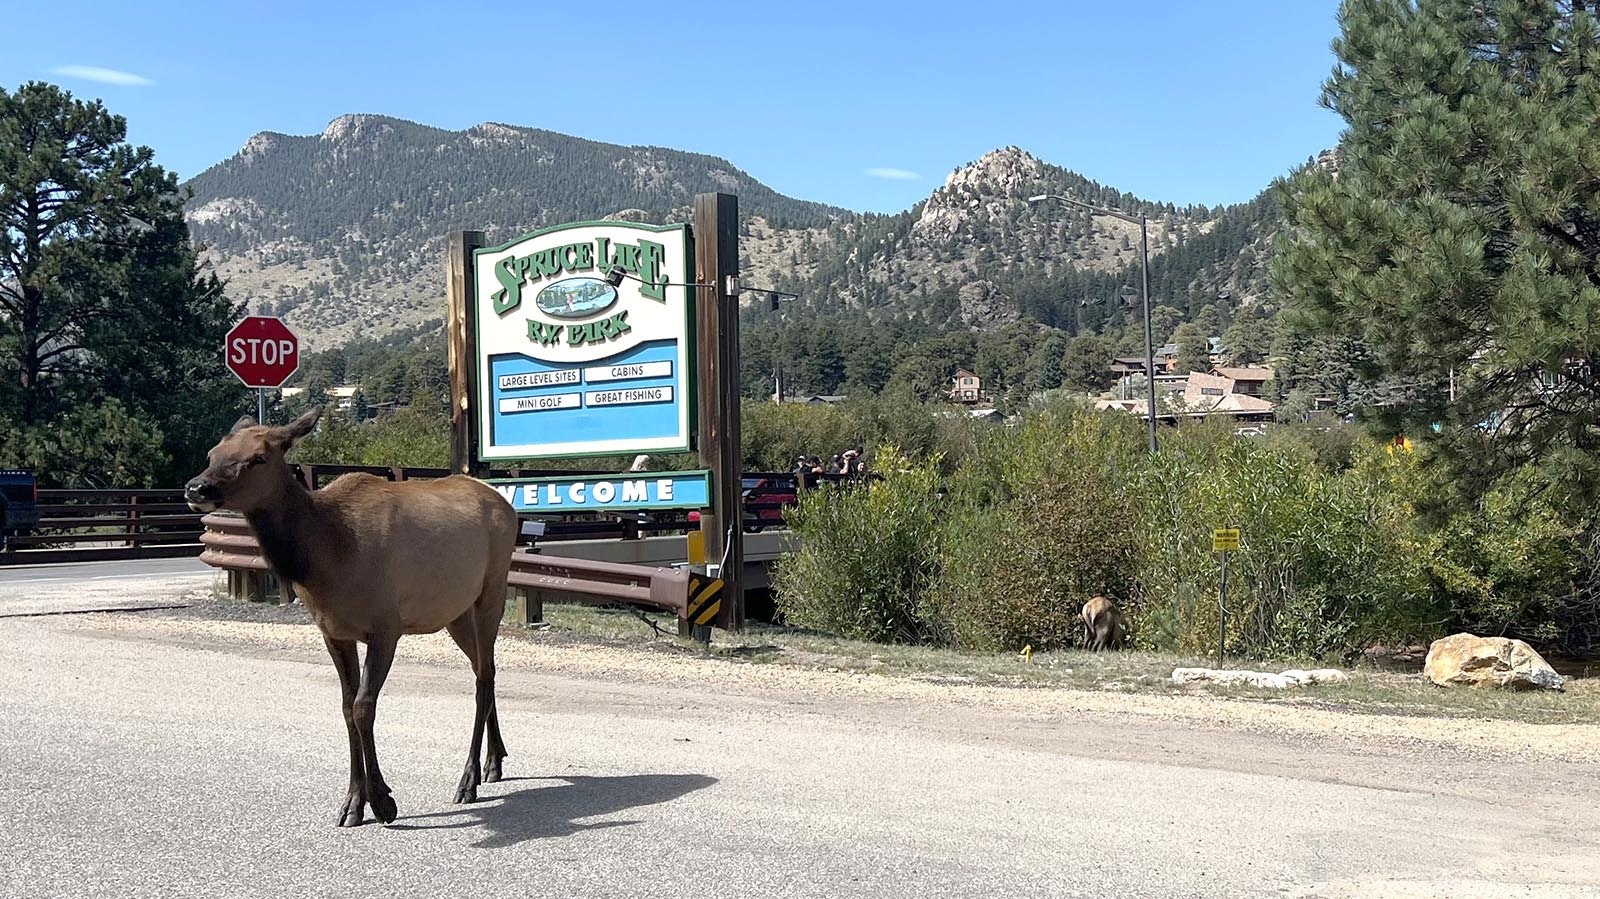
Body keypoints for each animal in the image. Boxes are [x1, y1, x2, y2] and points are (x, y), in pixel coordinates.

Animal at [185, 409, 518, 825]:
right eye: (213, 452)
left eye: (259, 457)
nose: (196, 488)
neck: (326, 555)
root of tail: (509, 507)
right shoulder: (333, 632)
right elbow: (346, 708)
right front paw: (353, 802)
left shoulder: (385, 627)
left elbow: (363, 707)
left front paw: (383, 801)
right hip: (453, 611)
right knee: (486, 669)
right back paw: (495, 760)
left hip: (493, 589)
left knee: (483, 677)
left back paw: (468, 779)